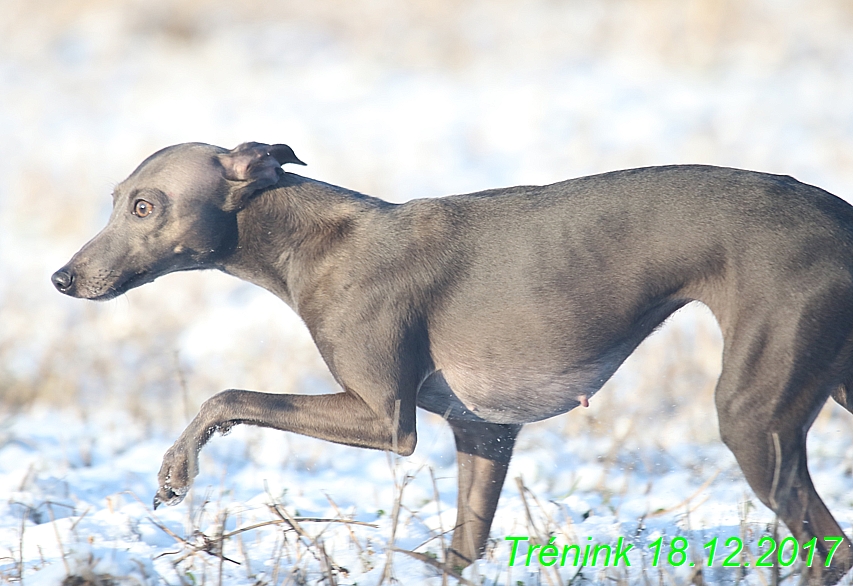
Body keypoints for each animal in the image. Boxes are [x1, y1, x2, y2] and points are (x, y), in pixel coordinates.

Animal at [51, 143, 852, 584]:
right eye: (117, 200)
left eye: (146, 207)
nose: (63, 278)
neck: (313, 239)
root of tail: (838, 213)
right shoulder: (484, 432)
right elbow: (464, 545)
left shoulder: (384, 419)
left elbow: (227, 396)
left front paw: (174, 471)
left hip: (753, 419)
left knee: (830, 549)